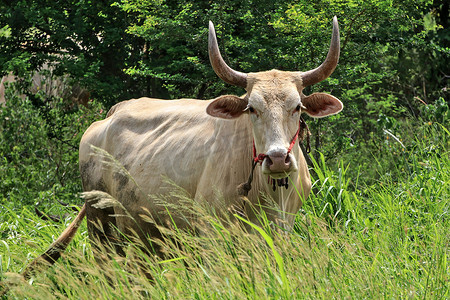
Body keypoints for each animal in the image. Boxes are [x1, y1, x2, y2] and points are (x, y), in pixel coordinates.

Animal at [21, 16, 342, 276]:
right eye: (252, 108)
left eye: (297, 107)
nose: (277, 160)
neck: (268, 195)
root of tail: (110, 115)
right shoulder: (211, 235)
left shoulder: (280, 231)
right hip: (100, 224)